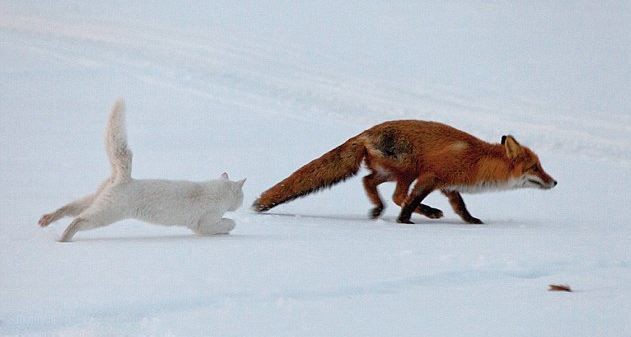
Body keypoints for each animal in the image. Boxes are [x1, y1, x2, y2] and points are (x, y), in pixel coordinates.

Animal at [37, 98, 244, 240]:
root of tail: (124, 178)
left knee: (68, 208)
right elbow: (229, 223)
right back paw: (62, 239)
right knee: (78, 220)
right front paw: (227, 228)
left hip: (95, 200)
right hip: (106, 213)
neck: (217, 192)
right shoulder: (203, 224)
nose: (241, 203)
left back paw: (46, 220)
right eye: (242, 196)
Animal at [252, 120, 556, 223]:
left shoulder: (448, 185)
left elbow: (460, 206)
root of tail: (365, 133)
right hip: (407, 170)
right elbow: (411, 200)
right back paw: (422, 213)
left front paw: (471, 222)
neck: (478, 160)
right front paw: (405, 220)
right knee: (396, 195)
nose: (554, 182)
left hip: (390, 172)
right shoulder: (431, 177)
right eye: (535, 168)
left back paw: (378, 209)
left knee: (367, 181)